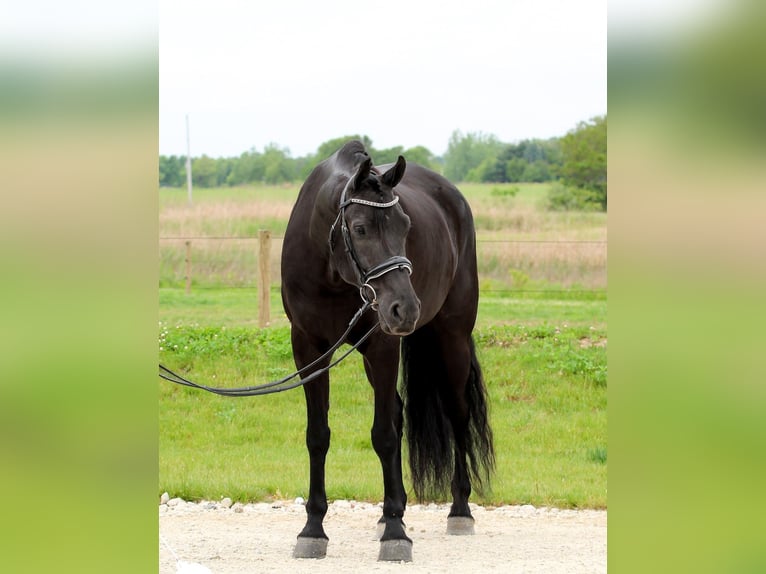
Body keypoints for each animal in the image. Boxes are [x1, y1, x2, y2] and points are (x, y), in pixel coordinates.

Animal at [280, 140, 494, 562]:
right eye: (360, 228)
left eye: (405, 227)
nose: (405, 308)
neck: (331, 270)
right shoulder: (308, 349)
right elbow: (318, 435)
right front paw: (313, 529)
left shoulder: (382, 345)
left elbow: (383, 435)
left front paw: (396, 535)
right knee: (397, 410)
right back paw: (389, 510)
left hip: (452, 337)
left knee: (457, 414)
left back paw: (459, 510)